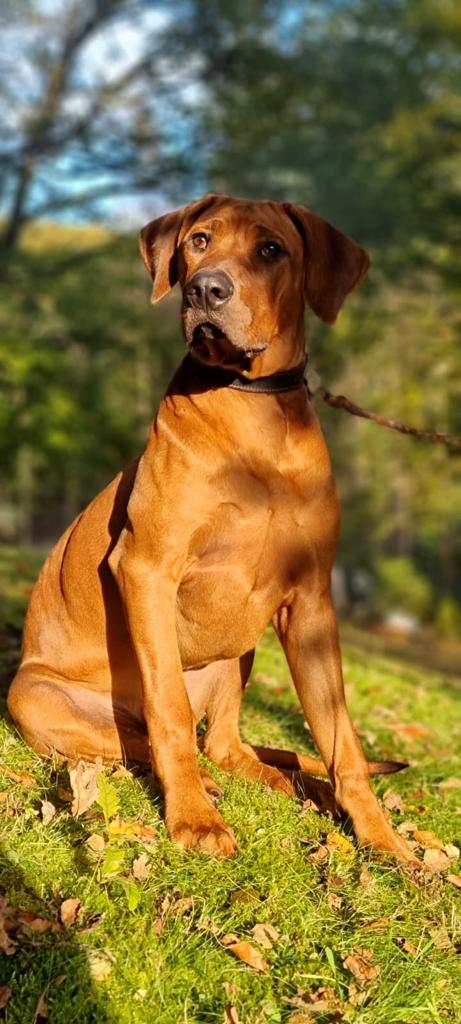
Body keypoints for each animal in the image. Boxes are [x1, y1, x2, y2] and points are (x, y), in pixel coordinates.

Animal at [8, 194, 415, 861]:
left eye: (271, 249)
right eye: (198, 241)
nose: (205, 289)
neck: (254, 406)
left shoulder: (310, 601)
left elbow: (342, 740)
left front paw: (385, 843)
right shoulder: (147, 568)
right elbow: (169, 712)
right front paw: (194, 820)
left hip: (239, 645)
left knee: (226, 744)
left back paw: (292, 784)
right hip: (36, 696)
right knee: (148, 740)